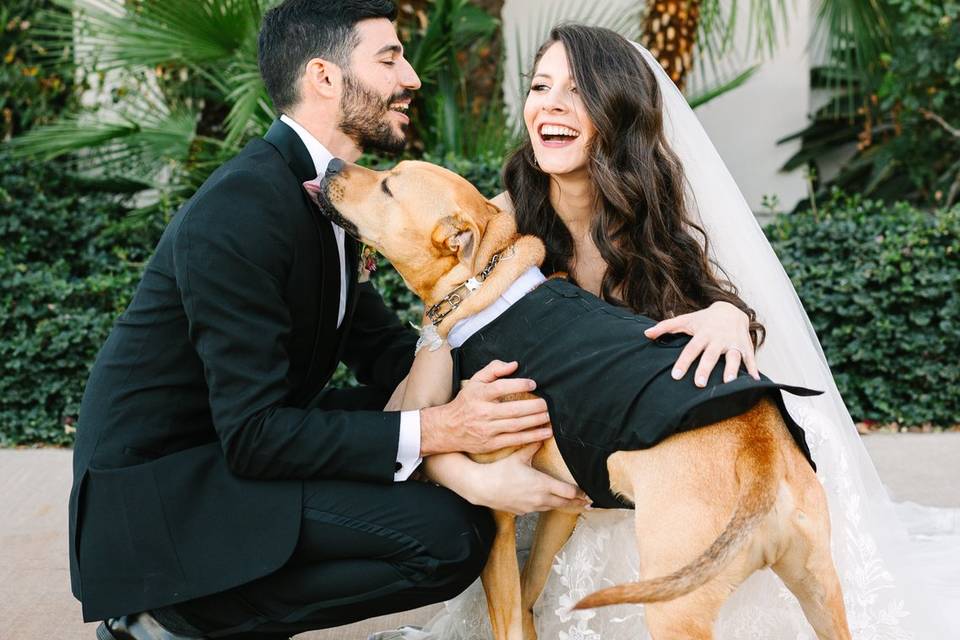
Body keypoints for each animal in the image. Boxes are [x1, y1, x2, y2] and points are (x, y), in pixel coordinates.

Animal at [312, 160, 852, 640]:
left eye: (388, 186)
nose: (333, 163)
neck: (486, 282)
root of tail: (759, 456)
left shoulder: (498, 513)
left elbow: (507, 616)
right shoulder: (561, 504)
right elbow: (530, 592)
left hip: (676, 612)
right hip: (822, 593)